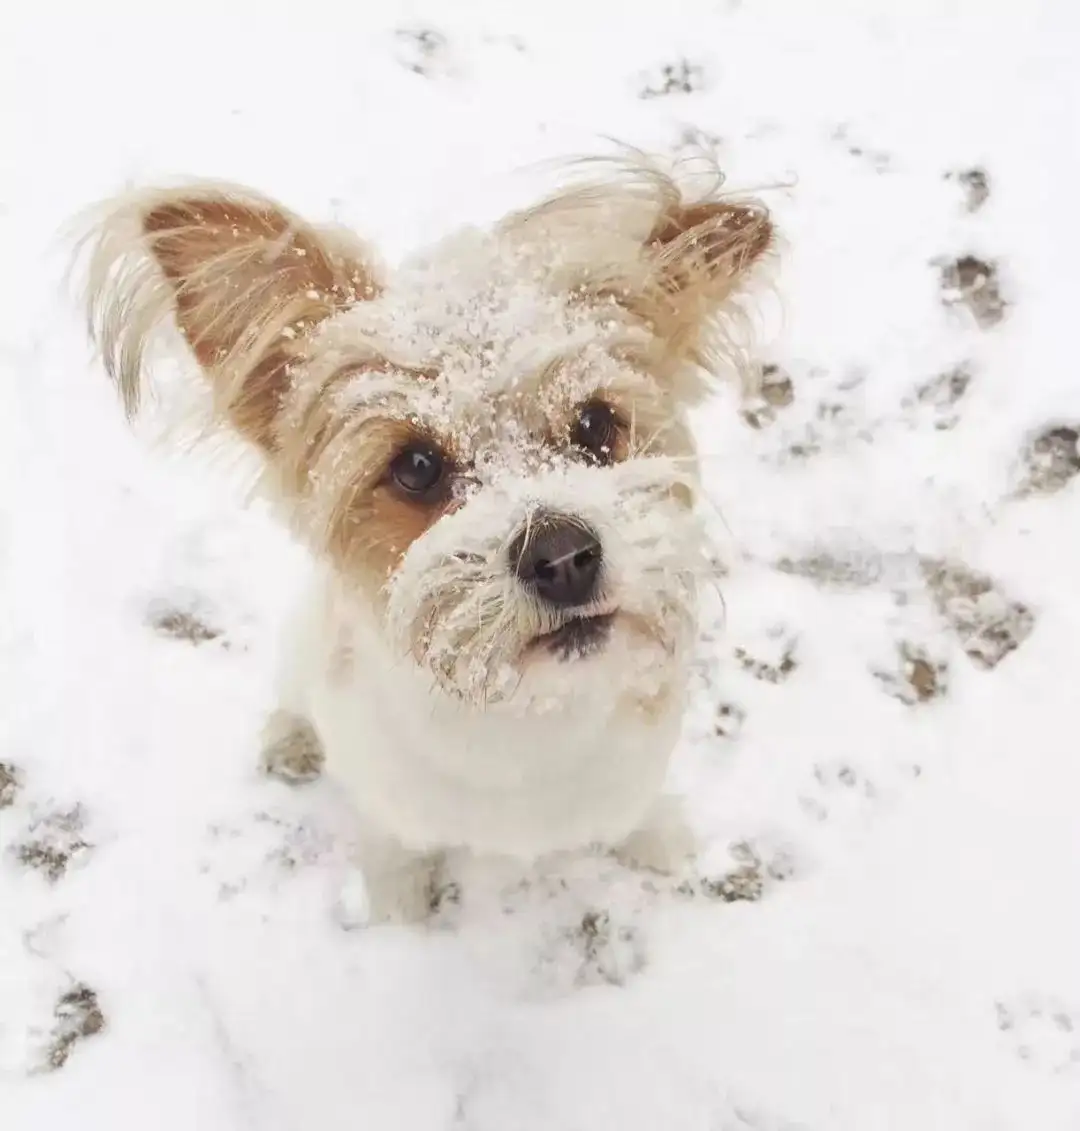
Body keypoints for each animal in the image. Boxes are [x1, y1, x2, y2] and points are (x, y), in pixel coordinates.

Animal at [80, 154, 773, 922]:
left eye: (595, 424)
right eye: (415, 467)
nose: (563, 557)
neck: (526, 718)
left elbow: (636, 808)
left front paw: (655, 837)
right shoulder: (386, 790)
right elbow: (394, 838)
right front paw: (400, 895)